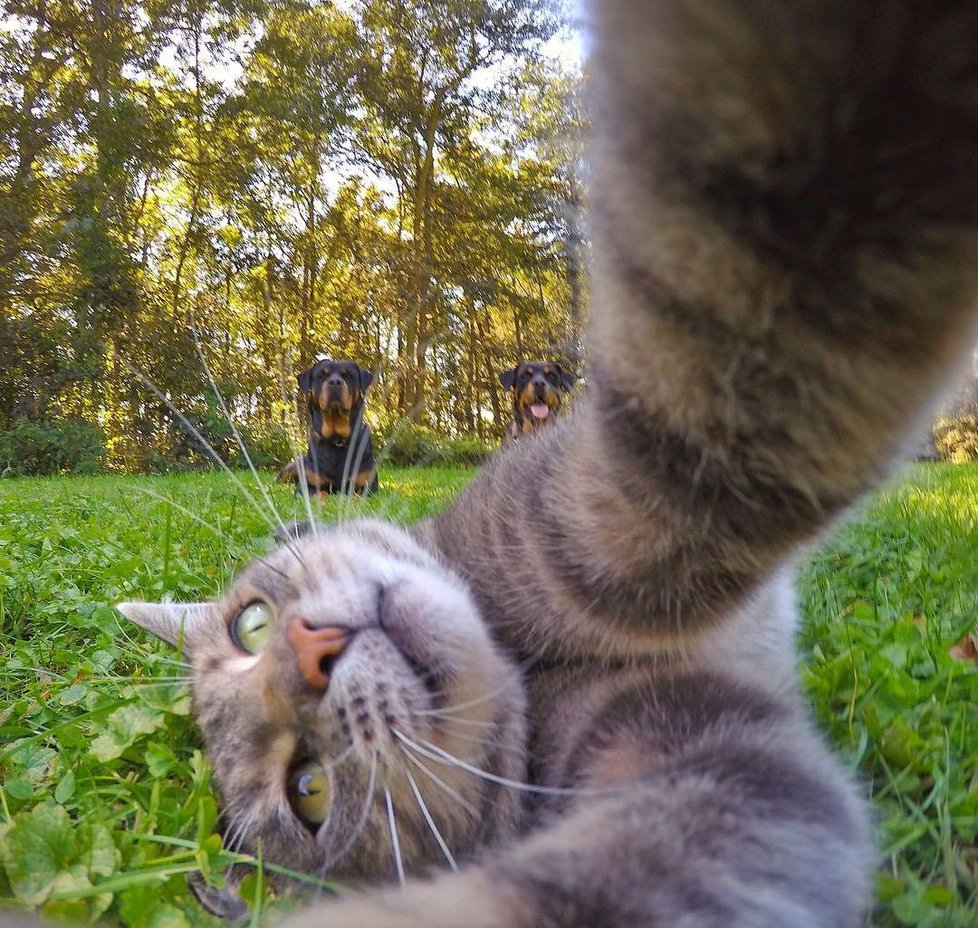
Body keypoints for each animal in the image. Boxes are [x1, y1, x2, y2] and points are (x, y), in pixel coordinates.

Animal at [280, 358, 380, 496]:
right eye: (322, 375)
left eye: (347, 376)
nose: (335, 381)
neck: (337, 439)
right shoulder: (307, 486)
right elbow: (320, 494)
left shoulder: (367, 487)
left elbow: (357, 497)